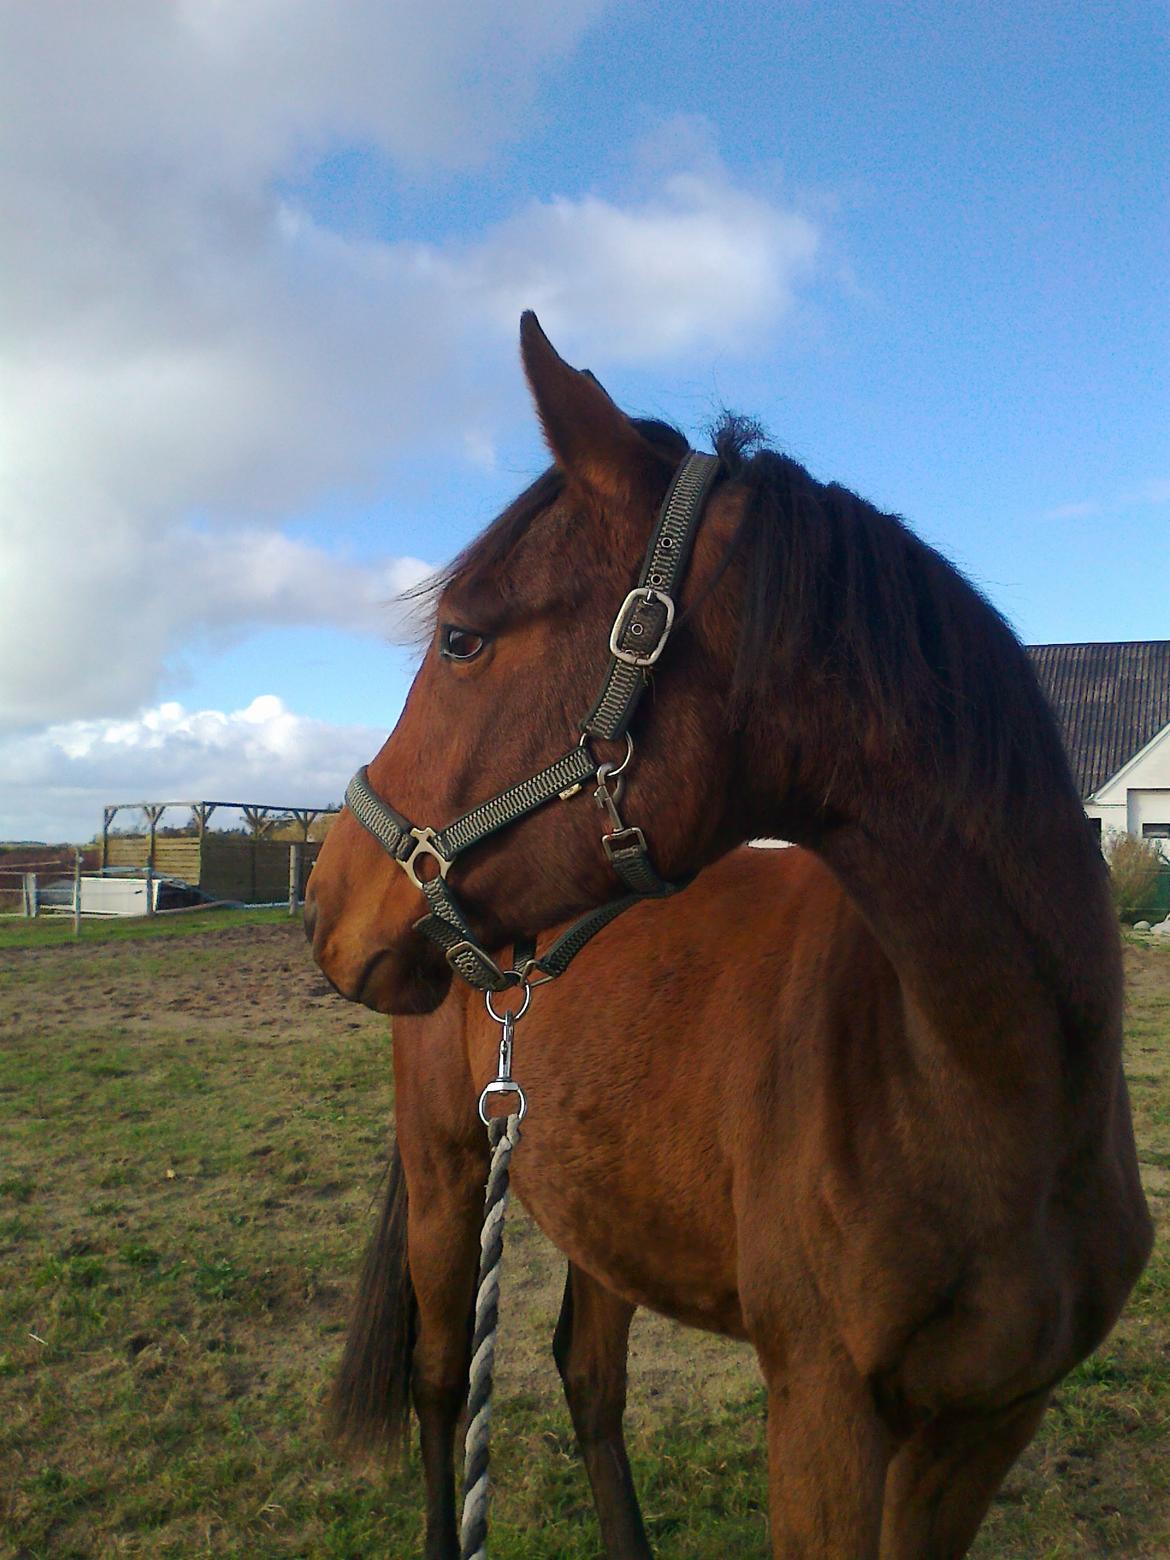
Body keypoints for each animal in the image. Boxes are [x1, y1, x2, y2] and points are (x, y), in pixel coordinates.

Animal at [304, 310, 1154, 1553]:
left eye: (462, 640)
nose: (326, 896)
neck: (986, 1083)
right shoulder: (822, 1416)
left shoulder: (986, 1428)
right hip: (449, 1171)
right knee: (440, 1381)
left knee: (586, 1376)